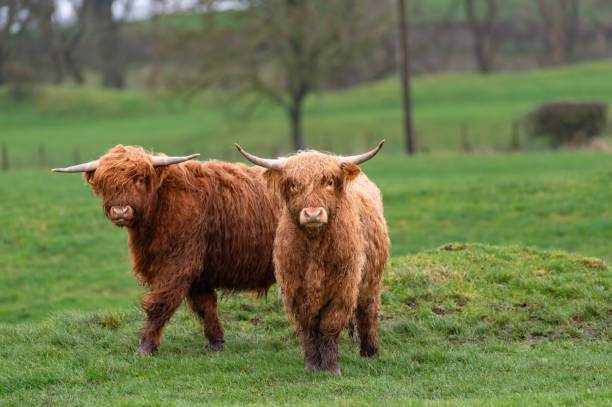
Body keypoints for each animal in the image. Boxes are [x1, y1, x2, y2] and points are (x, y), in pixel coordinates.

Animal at [53, 145, 278, 356]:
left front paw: (145, 346)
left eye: (140, 179)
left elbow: (159, 304)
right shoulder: (198, 271)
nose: (120, 211)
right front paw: (216, 343)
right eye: (105, 183)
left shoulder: (178, 263)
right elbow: (206, 307)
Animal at [237, 141, 390, 376]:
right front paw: (311, 366)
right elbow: (308, 328)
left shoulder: (343, 289)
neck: (314, 247)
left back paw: (370, 352)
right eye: (293, 184)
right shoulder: (295, 290)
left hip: (371, 281)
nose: (312, 214)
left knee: (368, 313)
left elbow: (329, 326)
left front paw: (331, 368)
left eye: (329, 182)